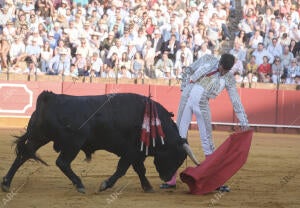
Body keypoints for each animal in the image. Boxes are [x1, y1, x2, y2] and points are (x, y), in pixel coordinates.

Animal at [1, 92, 198, 193]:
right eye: (177, 157)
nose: (166, 178)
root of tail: (50, 97)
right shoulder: (131, 151)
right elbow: (122, 169)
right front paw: (105, 185)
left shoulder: (136, 153)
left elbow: (139, 169)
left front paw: (147, 186)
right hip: (73, 143)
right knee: (62, 162)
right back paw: (79, 184)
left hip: (39, 136)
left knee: (23, 155)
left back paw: (6, 183)